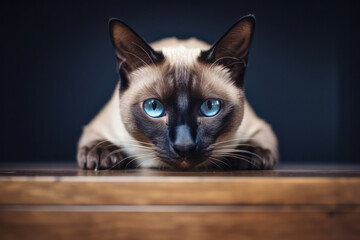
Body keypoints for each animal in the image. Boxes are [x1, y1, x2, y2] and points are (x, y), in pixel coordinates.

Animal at [76, 14, 278, 171]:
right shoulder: (96, 127)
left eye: (210, 107)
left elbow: (256, 144)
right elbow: (97, 142)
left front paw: (250, 155)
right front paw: (101, 154)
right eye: (154, 107)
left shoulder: (260, 128)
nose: (184, 146)